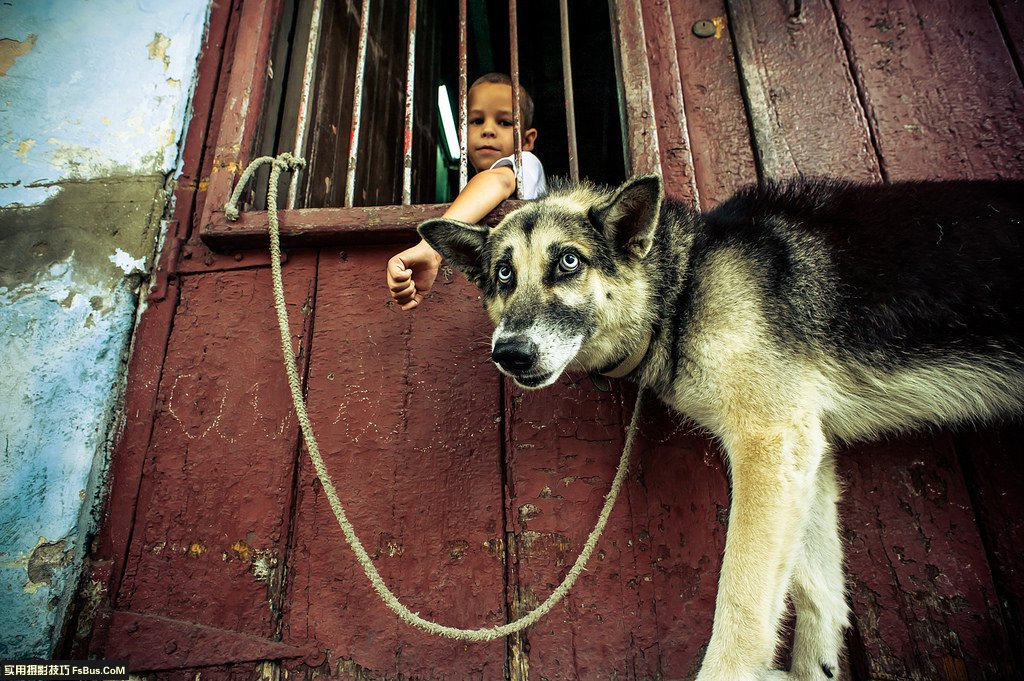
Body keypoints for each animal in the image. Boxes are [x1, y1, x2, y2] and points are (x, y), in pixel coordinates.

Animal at [417, 176, 1024, 679]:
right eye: (504, 273)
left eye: (568, 262)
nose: (509, 354)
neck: (683, 284)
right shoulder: (806, 454)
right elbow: (818, 593)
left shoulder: (770, 441)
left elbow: (742, 604)